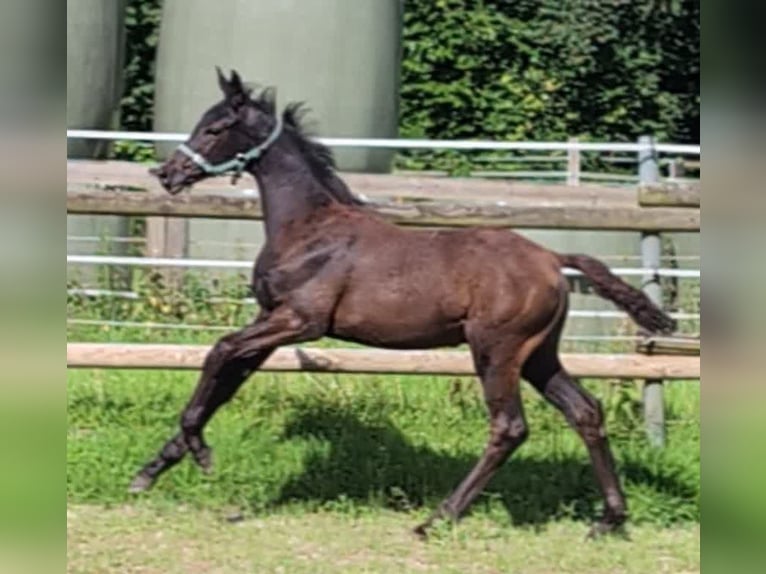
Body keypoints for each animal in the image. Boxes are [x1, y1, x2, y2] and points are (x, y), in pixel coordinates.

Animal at [134, 68, 680, 540]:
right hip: (538, 355)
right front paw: (152, 469)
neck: (309, 228)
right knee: (585, 411)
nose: (167, 173)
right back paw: (610, 518)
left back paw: (439, 518)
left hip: (497, 350)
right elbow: (228, 378)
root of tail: (551, 257)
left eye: (215, 127)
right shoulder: (271, 320)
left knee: (509, 427)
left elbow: (220, 351)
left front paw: (199, 451)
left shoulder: (300, 321)